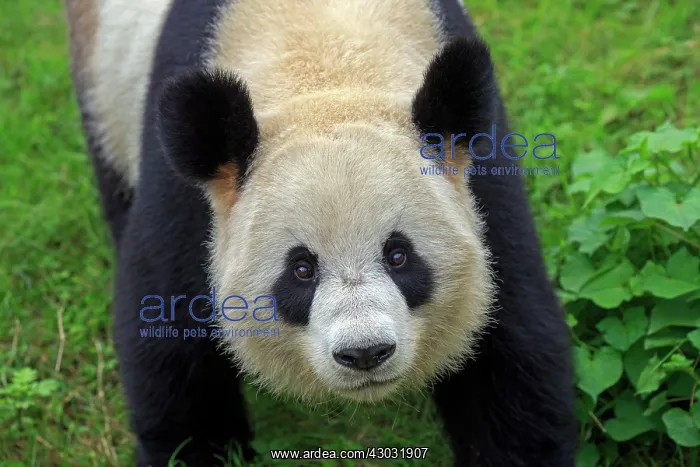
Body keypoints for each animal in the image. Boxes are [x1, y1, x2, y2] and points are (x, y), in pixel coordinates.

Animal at [63, 0, 577, 465]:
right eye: (301, 269)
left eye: (399, 256)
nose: (365, 353)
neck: (323, 61)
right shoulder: (188, 201)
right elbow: (169, 335)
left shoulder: (481, 183)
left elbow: (513, 342)